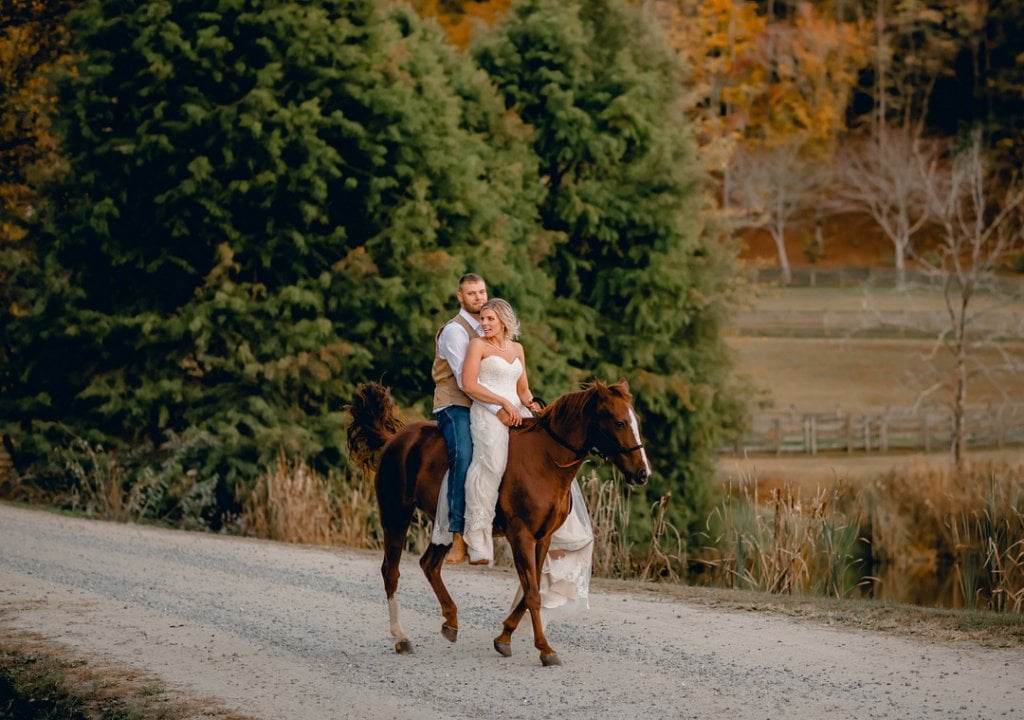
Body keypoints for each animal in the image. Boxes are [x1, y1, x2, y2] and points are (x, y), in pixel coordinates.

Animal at [344, 380, 647, 667]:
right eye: (619, 422)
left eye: (635, 420)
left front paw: (504, 637)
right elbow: (533, 592)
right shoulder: (521, 535)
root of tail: (396, 438)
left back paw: (450, 621)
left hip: (444, 525)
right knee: (391, 572)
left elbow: (531, 588)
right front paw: (545, 650)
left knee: (429, 564)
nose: (642, 473)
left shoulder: (543, 537)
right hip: (396, 515)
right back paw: (401, 637)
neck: (546, 459)